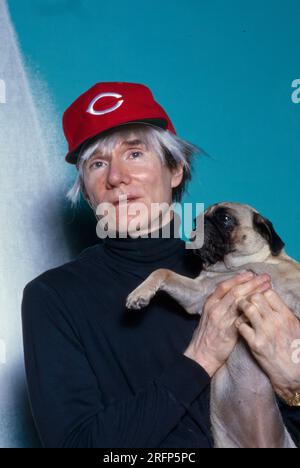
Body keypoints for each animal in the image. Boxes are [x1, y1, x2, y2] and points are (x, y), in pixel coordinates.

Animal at [125, 202, 300, 450]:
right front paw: (140, 293)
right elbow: (162, 271)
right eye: (197, 219)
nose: (200, 224)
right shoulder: (197, 294)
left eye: (225, 219)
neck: (242, 265)